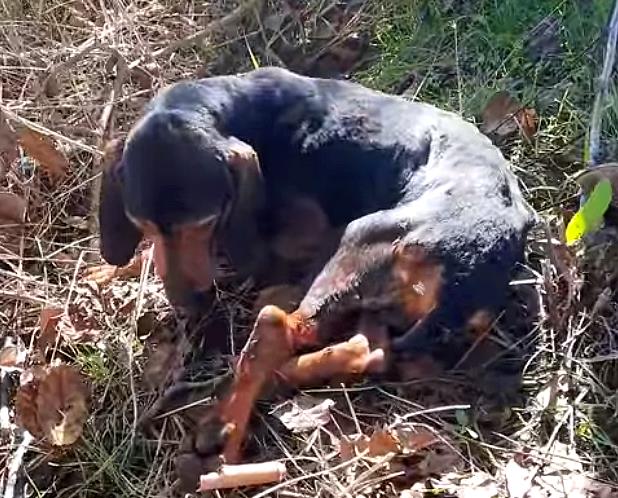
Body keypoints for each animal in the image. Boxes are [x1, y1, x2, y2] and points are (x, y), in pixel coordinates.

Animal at [97, 68, 536, 480]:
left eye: (204, 223)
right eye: (142, 224)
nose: (188, 305)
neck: (241, 107)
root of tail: (472, 266)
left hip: (355, 240)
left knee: (276, 327)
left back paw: (223, 428)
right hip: (374, 295)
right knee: (367, 350)